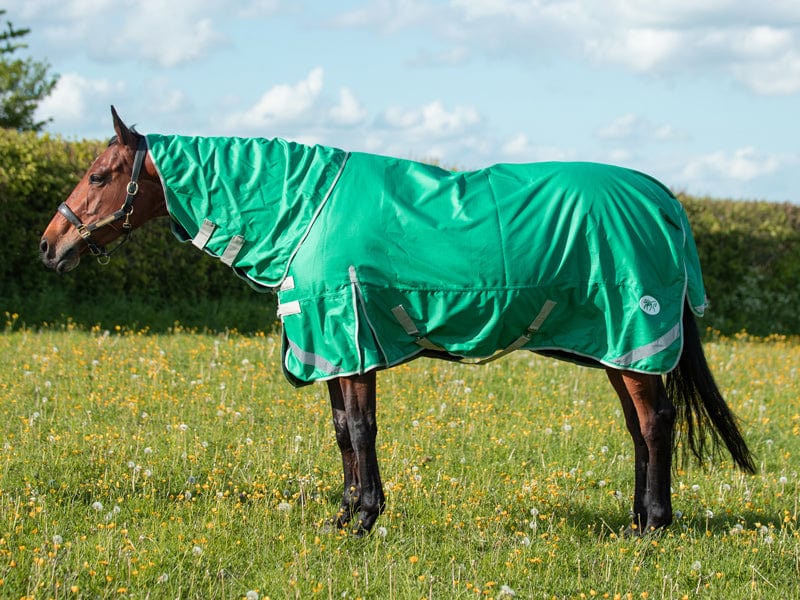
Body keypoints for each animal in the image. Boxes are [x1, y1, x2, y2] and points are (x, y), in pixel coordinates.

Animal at [39, 107, 755, 536]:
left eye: (100, 175)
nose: (50, 246)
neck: (306, 209)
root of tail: (663, 199)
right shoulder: (330, 346)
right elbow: (340, 433)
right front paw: (343, 517)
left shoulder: (349, 337)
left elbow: (360, 431)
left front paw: (364, 521)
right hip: (613, 348)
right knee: (640, 426)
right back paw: (635, 518)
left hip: (633, 334)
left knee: (656, 423)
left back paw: (653, 524)